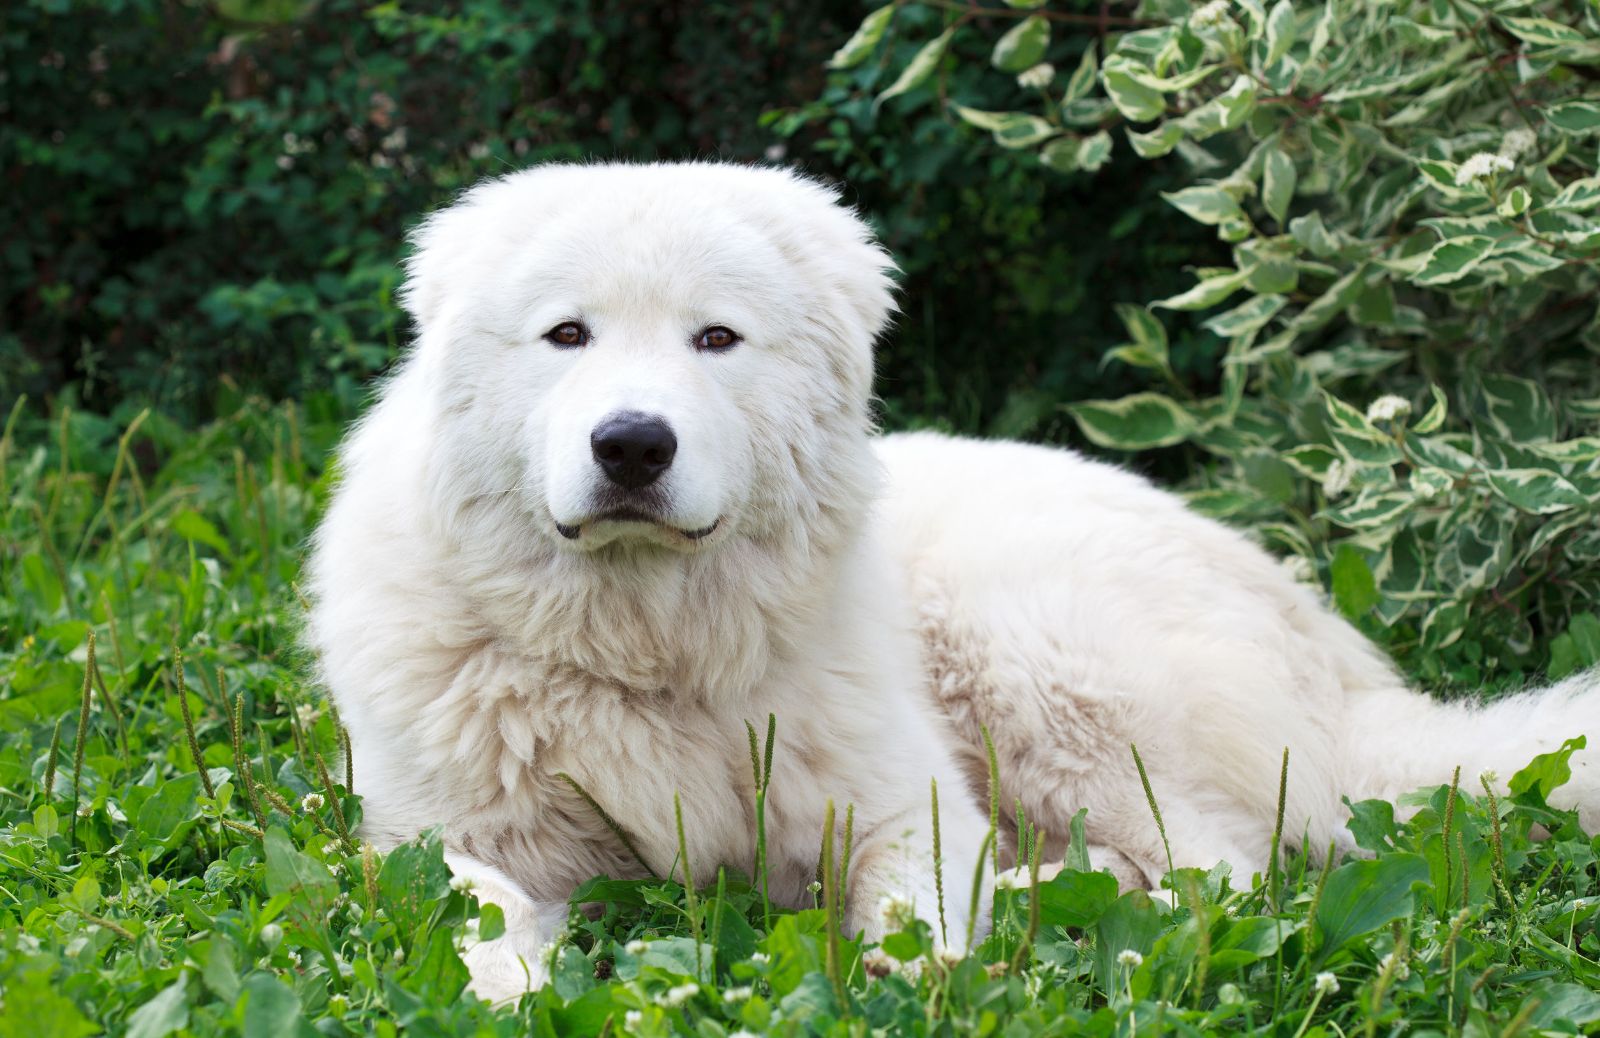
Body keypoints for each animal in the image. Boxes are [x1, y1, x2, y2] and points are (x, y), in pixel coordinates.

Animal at [305, 163, 1593, 1004]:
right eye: (565, 335)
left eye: (715, 339)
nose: (631, 446)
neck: (644, 644)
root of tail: (1332, 654)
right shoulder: (437, 840)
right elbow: (482, 922)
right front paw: (514, 986)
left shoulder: (896, 805)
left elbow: (914, 906)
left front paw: (907, 974)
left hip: (1032, 652)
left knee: (1213, 878)